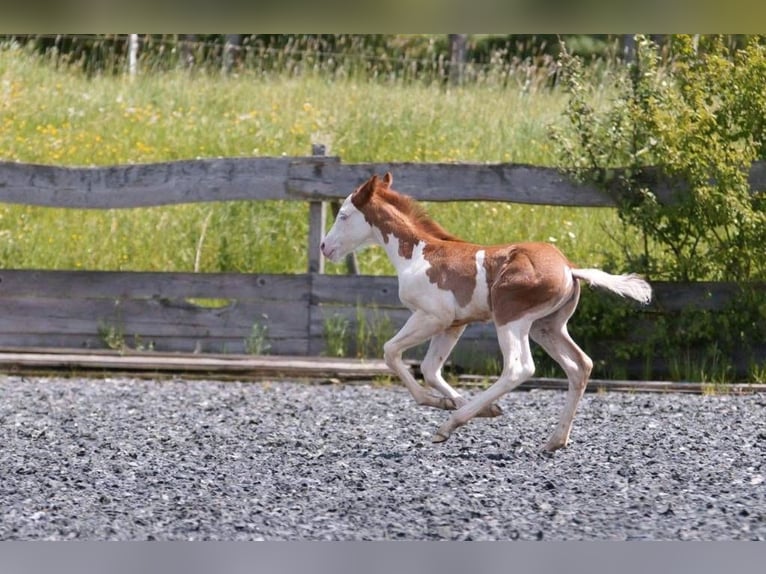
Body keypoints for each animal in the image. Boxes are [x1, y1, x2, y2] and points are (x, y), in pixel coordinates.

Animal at [320, 173, 652, 452]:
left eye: (343, 215)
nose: (324, 246)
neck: (417, 255)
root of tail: (570, 269)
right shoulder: (454, 325)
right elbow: (430, 368)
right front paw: (467, 405)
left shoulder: (432, 317)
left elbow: (391, 352)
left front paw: (444, 405)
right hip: (547, 327)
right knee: (580, 366)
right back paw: (555, 440)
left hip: (511, 319)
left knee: (520, 368)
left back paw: (449, 427)